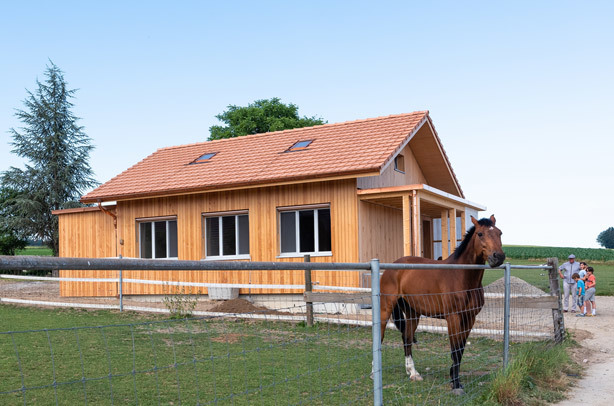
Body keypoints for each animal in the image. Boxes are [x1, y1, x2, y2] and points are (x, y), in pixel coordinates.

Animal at [382, 214, 508, 394]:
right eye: (480, 234)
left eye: (499, 233)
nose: (498, 257)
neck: (461, 277)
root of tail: (392, 266)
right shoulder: (453, 318)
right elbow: (455, 350)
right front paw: (455, 384)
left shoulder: (469, 319)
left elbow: (460, 350)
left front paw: (455, 379)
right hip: (385, 309)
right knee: (381, 336)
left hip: (413, 313)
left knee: (407, 339)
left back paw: (413, 373)